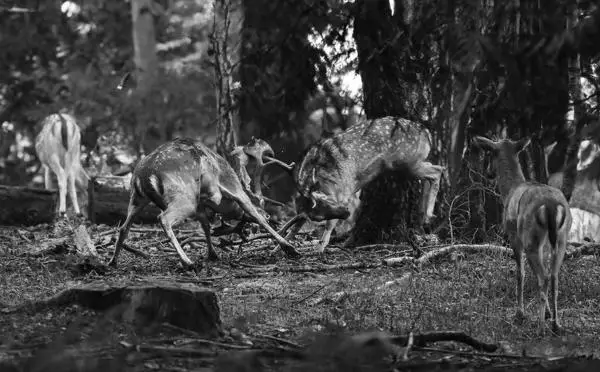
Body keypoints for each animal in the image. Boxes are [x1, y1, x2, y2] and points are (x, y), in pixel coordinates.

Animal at [108, 137, 300, 268]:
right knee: (163, 218)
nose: (270, 216)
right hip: (184, 196)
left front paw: (213, 254)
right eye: (261, 205)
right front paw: (288, 247)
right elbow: (253, 213)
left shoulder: (201, 205)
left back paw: (112, 262)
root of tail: (145, 175)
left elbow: (206, 225)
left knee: (123, 227)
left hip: (136, 198)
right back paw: (188, 262)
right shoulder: (233, 189)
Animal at [278, 116, 442, 253]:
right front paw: (282, 245)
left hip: (408, 162)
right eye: (318, 218)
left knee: (438, 170)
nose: (346, 213)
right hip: (410, 163)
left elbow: (329, 224)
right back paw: (424, 217)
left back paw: (428, 214)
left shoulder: (345, 191)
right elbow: (298, 223)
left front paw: (320, 247)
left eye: (328, 204)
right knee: (430, 172)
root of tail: (427, 133)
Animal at [474, 135, 572, 332]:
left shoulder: (513, 236)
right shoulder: (544, 245)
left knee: (543, 277)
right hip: (561, 239)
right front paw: (547, 313)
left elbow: (520, 273)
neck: (510, 190)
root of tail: (551, 206)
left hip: (529, 237)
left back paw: (541, 328)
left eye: (488, 153)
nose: (488, 173)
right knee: (553, 276)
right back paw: (556, 324)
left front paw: (520, 313)